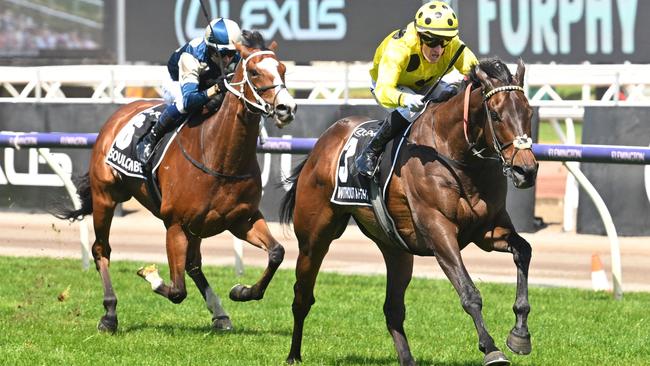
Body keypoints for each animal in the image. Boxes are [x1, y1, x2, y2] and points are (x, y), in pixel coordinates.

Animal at [53, 31, 296, 334]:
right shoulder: (175, 224)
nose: (287, 108)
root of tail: (118, 115)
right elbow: (177, 290)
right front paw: (151, 275)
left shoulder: (242, 219)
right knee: (101, 250)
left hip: (196, 226)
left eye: (283, 69)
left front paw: (242, 291)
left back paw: (220, 314)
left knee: (193, 264)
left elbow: (277, 252)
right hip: (104, 197)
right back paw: (109, 314)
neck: (219, 156)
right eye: (253, 71)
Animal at [278, 58, 536, 364]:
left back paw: (407, 358)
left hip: (395, 248)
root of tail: (321, 144)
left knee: (392, 308)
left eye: (529, 111)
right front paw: (491, 348)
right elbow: (469, 292)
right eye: (495, 115)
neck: (456, 157)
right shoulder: (438, 230)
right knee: (302, 295)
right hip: (314, 238)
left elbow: (524, 251)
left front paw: (520, 334)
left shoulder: (488, 230)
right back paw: (293, 354)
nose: (526, 170)